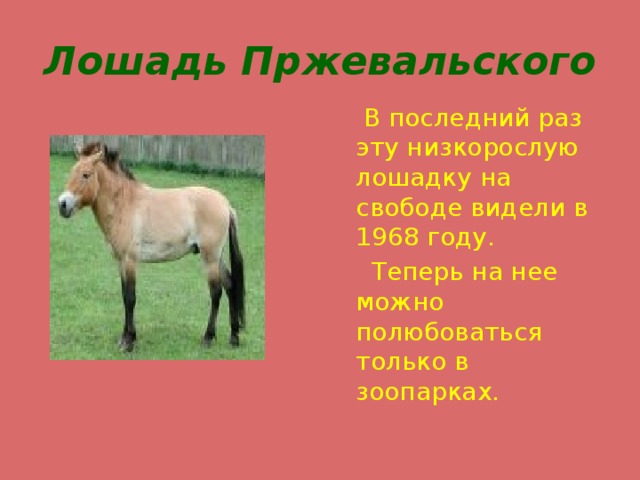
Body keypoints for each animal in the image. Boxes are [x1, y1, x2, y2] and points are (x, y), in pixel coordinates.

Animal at [57, 142, 245, 352]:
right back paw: (234, 337)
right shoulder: (120, 261)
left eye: (86, 175)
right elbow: (124, 296)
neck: (124, 204)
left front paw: (129, 342)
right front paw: (125, 337)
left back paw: (208, 337)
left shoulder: (130, 260)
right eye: (72, 172)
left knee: (216, 292)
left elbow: (130, 298)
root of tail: (226, 205)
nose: (62, 205)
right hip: (217, 257)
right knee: (230, 285)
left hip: (209, 257)